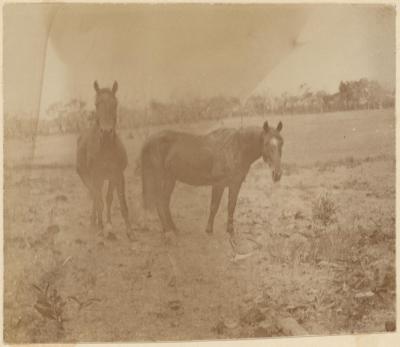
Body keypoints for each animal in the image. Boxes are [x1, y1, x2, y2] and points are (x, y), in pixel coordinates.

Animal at [76, 81, 136, 242]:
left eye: (115, 104)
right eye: (97, 104)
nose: (107, 132)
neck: (106, 148)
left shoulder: (118, 175)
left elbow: (120, 203)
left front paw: (129, 231)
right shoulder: (95, 176)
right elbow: (99, 202)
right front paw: (101, 229)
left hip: (107, 179)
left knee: (105, 198)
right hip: (88, 178)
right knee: (95, 197)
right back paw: (95, 223)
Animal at [141, 121, 284, 238]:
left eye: (281, 143)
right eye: (266, 143)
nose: (277, 174)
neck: (235, 148)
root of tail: (148, 140)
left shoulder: (235, 184)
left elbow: (231, 206)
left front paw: (230, 230)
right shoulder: (218, 184)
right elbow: (214, 206)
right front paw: (209, 230)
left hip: (170, 179)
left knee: (164, 202)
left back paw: (174, 229)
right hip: (159, 177)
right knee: (159, 202)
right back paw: (167, 231)